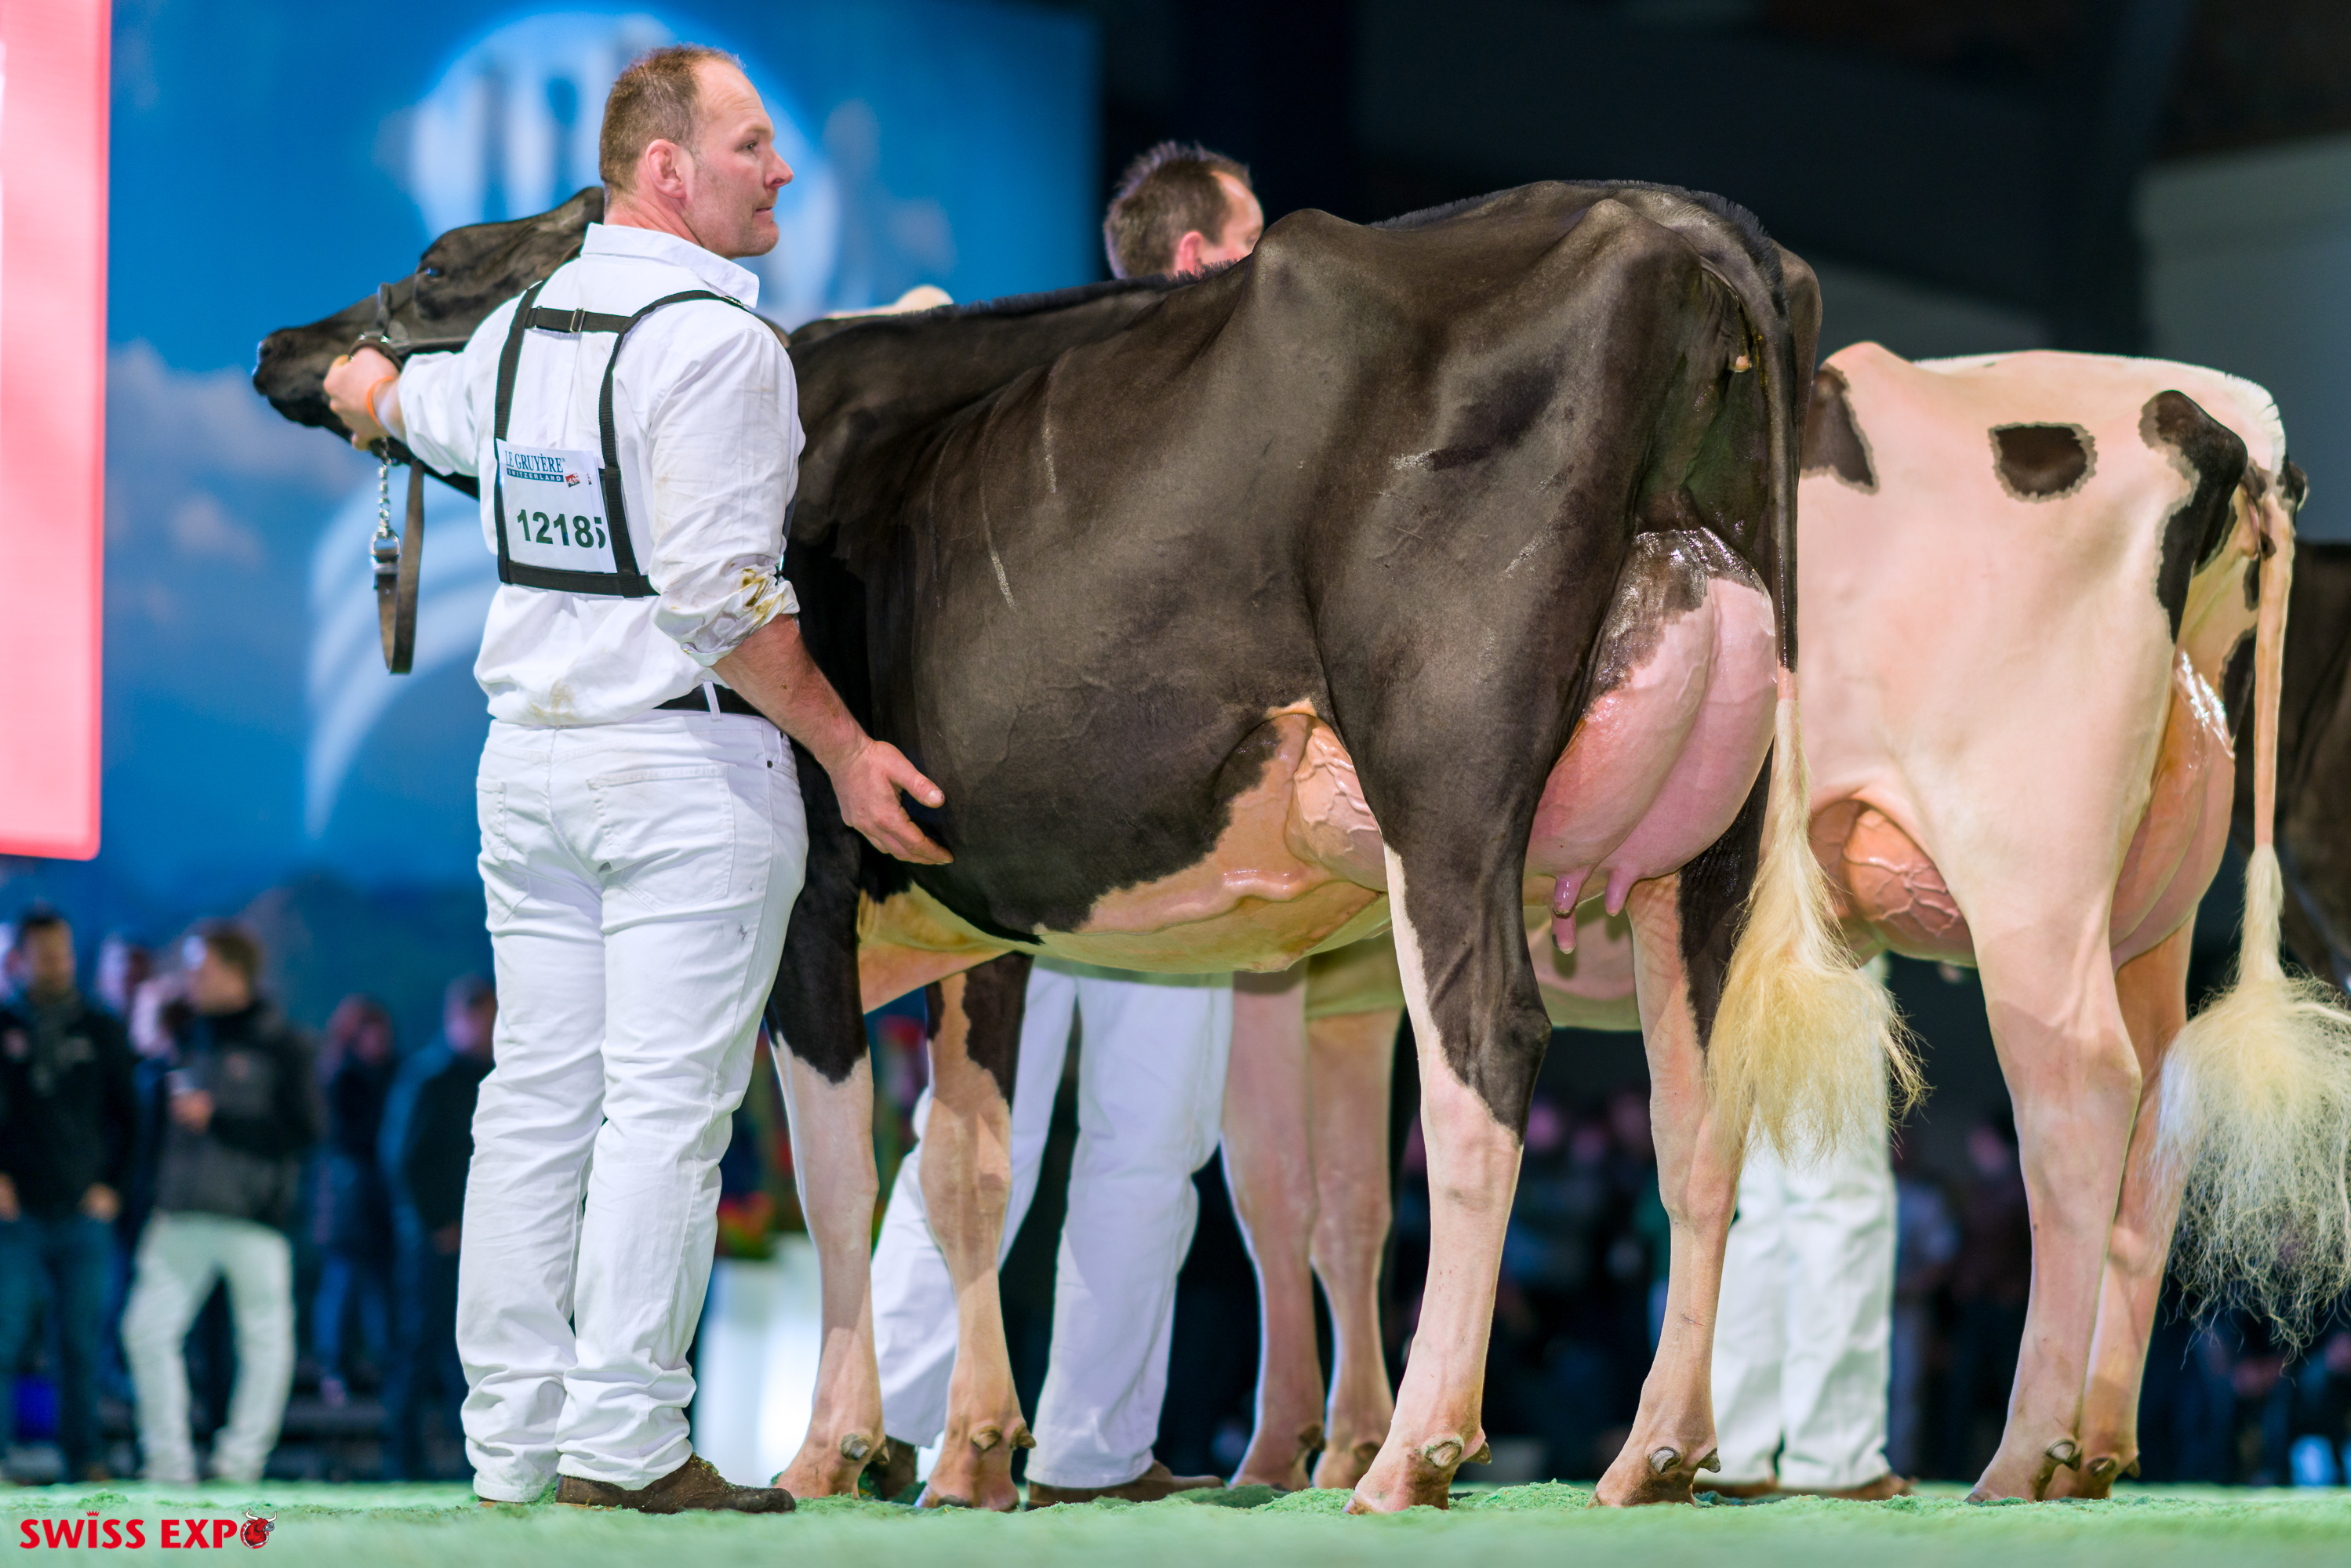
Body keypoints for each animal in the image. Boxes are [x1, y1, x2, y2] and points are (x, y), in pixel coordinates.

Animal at [258, 179, 1904, 1512]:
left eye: (436, 267)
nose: (283, 347)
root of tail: (1674, 219)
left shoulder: (810, 904)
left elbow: (842, 1178)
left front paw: (833, 1448)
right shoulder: (979, 924)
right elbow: (966, 1177)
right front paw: (975, 1452)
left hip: (1444, 773)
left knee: (1484, 1056)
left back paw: (1412, 1453)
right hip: (1707, 841)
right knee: (1697, 1118)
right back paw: (1652, 1454)